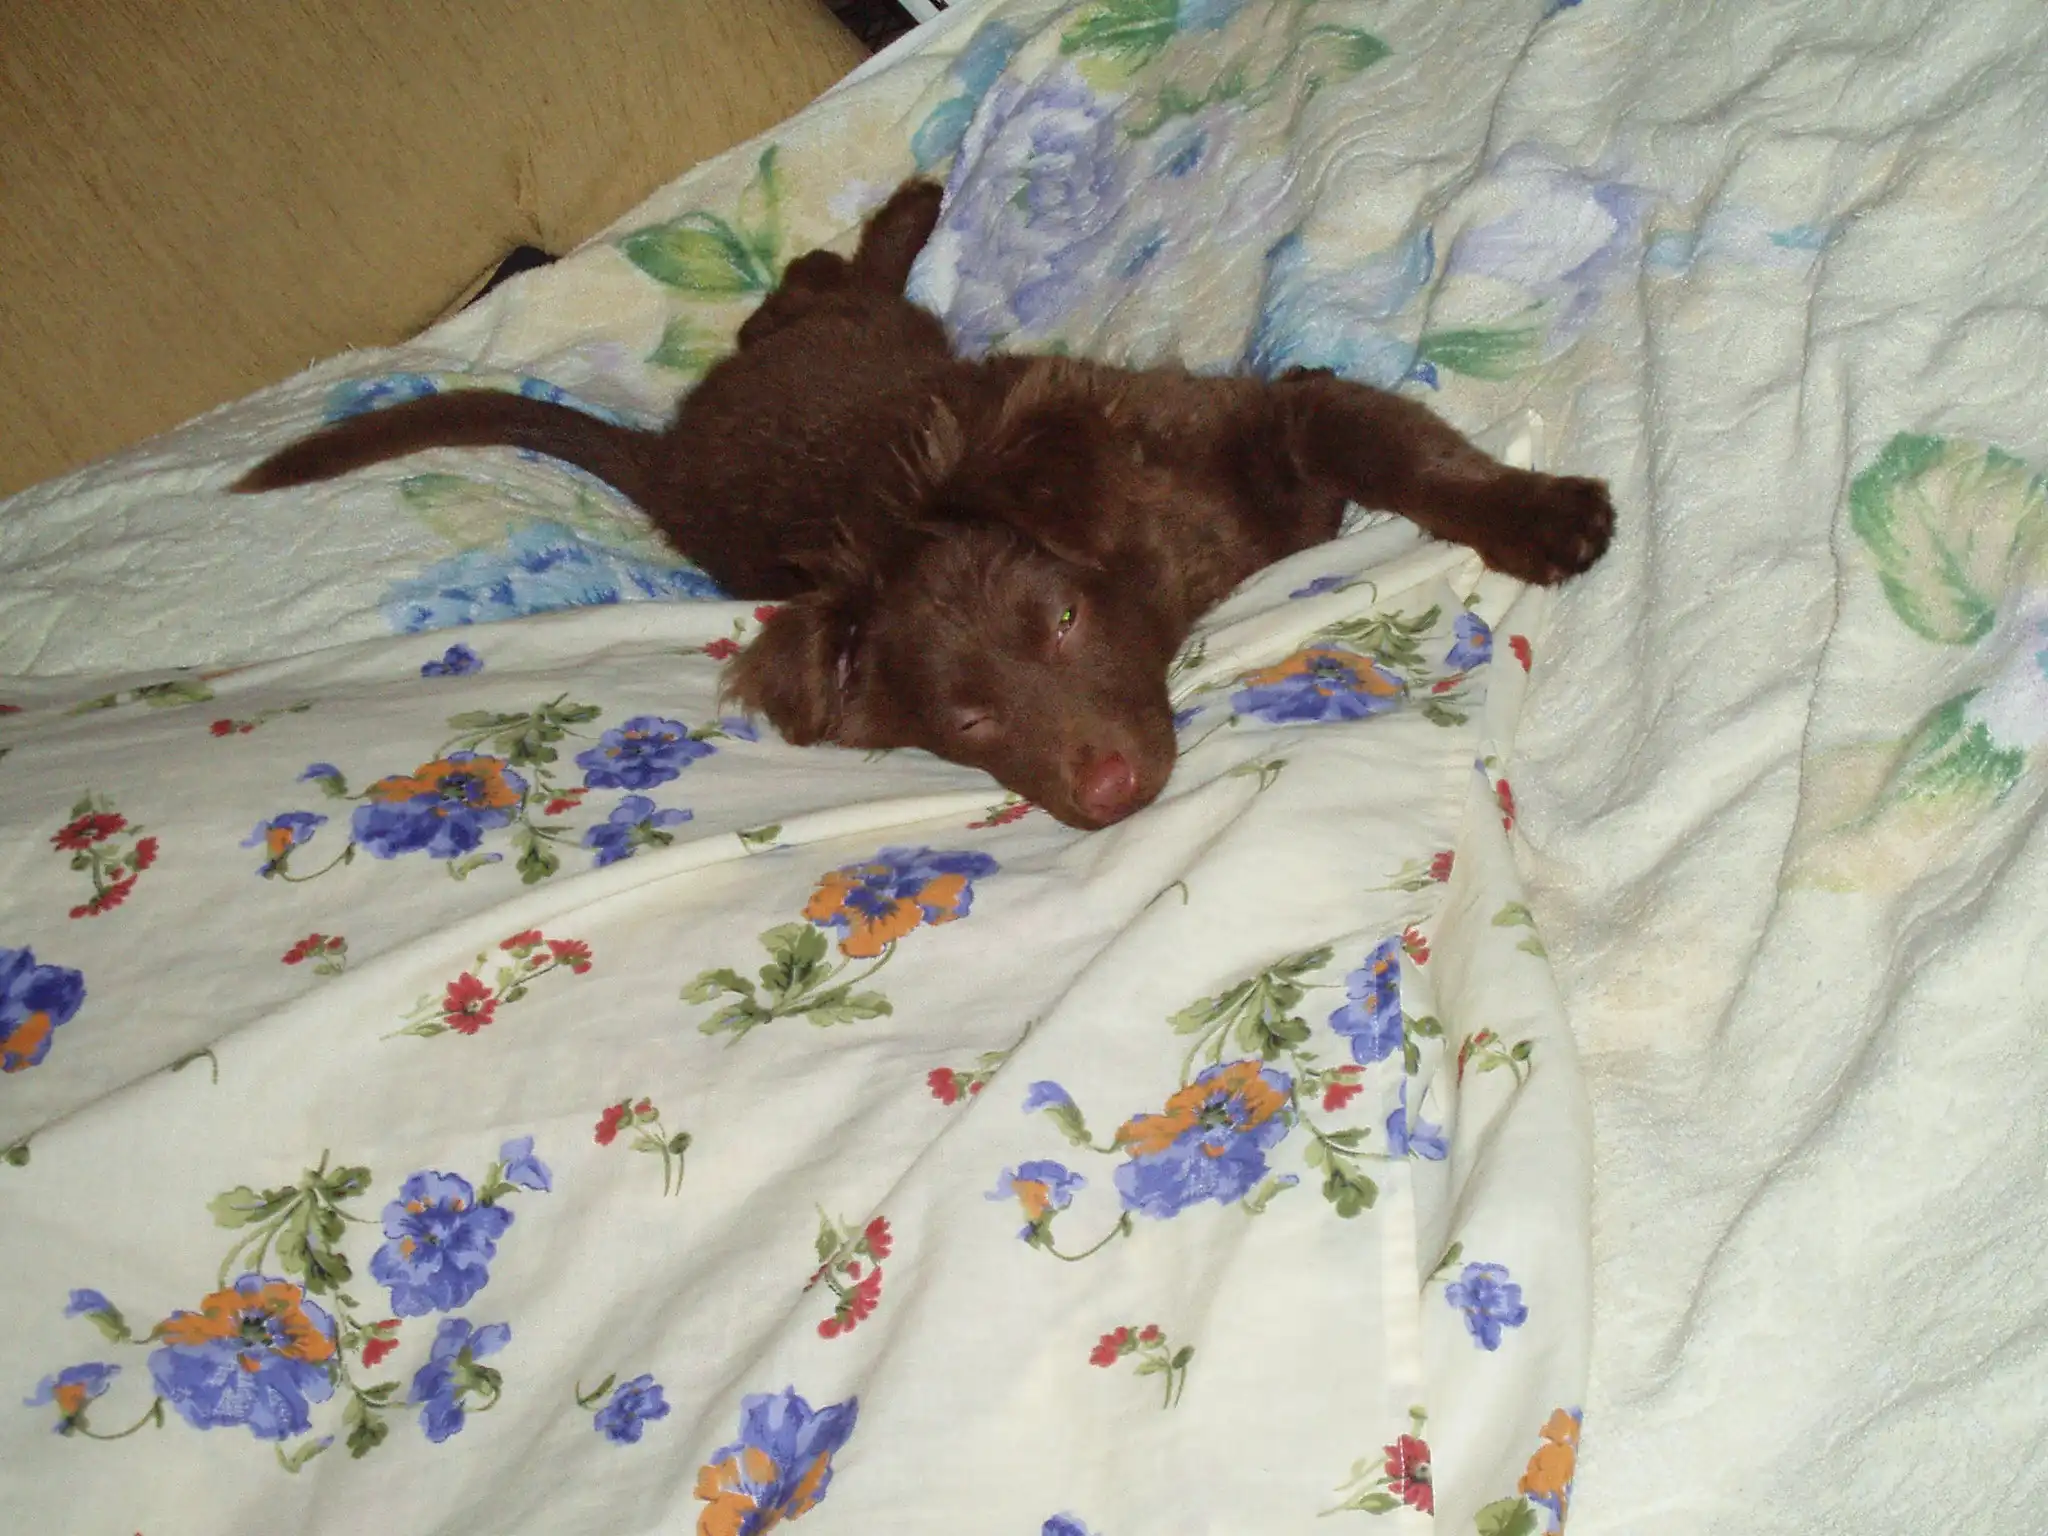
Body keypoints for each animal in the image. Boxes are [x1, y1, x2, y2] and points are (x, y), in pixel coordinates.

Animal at [236, 179, 1613, 829]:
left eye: (1061, 623)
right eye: (966, 719)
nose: (1105, 791)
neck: (1164, 575)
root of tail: (664, 457)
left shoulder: (1269, 421)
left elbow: (1406, 453)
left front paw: (1540, 516)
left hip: (836, 337)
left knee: (807, 280)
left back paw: (909, 208)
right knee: (812, 280)